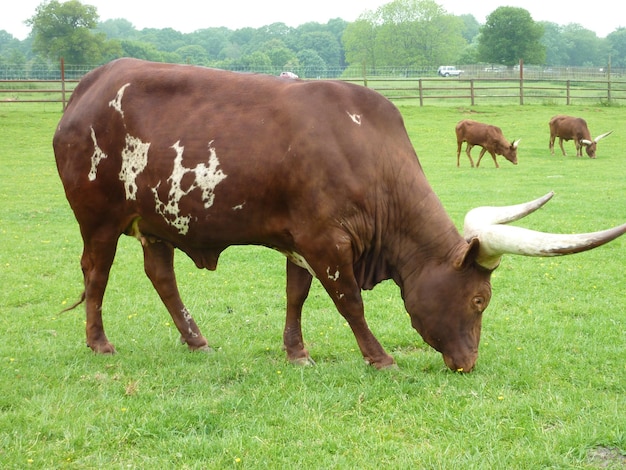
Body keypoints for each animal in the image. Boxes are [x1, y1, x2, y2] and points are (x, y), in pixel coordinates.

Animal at [52, 59, 624, 374]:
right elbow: (349, 302)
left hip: (156, 223)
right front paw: (380, 357)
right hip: (99, 219)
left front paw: (296, 353)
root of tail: (88, 87)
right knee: (96, 274)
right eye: (479, 300)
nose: (468, 363)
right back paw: (99, 342)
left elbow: (296, 296)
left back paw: (197, 341)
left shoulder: (299, 241)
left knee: (162, 277)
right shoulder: (324, 242)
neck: (364, 151)